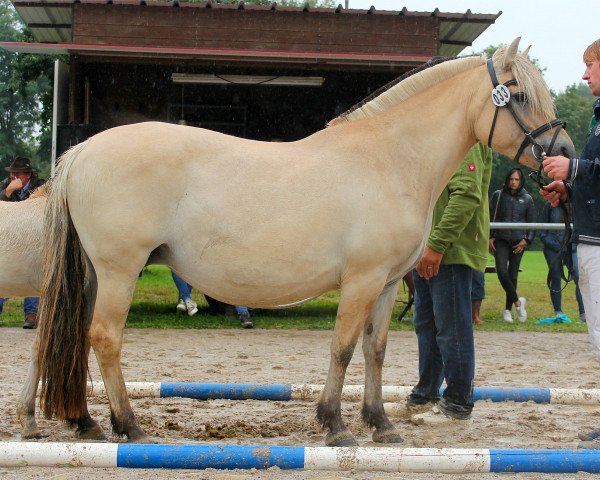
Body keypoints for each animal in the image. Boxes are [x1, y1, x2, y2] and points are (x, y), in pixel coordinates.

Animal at [23, 39, 576, 448]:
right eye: (519, 96)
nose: (563, 158)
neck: (391, 157)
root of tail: (83, 151)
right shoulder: (361, 280)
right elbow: (343, 348)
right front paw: (335, 426)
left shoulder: (387, 283)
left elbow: (375, 350)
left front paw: (380, 425)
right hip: (120, 270)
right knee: (104, 338)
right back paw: (128, 426)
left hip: (96, 274)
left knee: (72, 336)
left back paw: (85, 423)